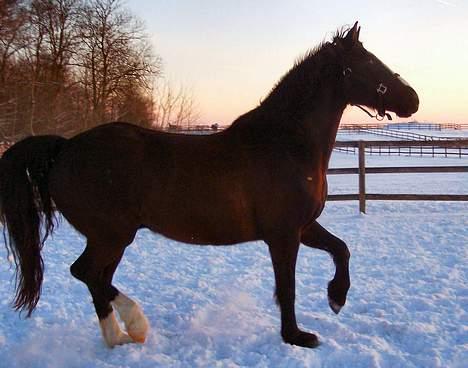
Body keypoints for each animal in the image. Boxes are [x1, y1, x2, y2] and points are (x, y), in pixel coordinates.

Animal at [0, 23, 416, 348]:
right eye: (368, 63)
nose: (412, 99)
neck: (286, 142)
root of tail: (65, 147)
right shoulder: (283, 235)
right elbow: (287, 287)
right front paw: (297, 336)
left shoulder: (303, 227)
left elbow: (341, 250)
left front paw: (336, 298)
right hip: (110, 235)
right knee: (86, 273)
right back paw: (135, 325)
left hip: (114, 238)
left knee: (97, 278)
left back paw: (119, 337)